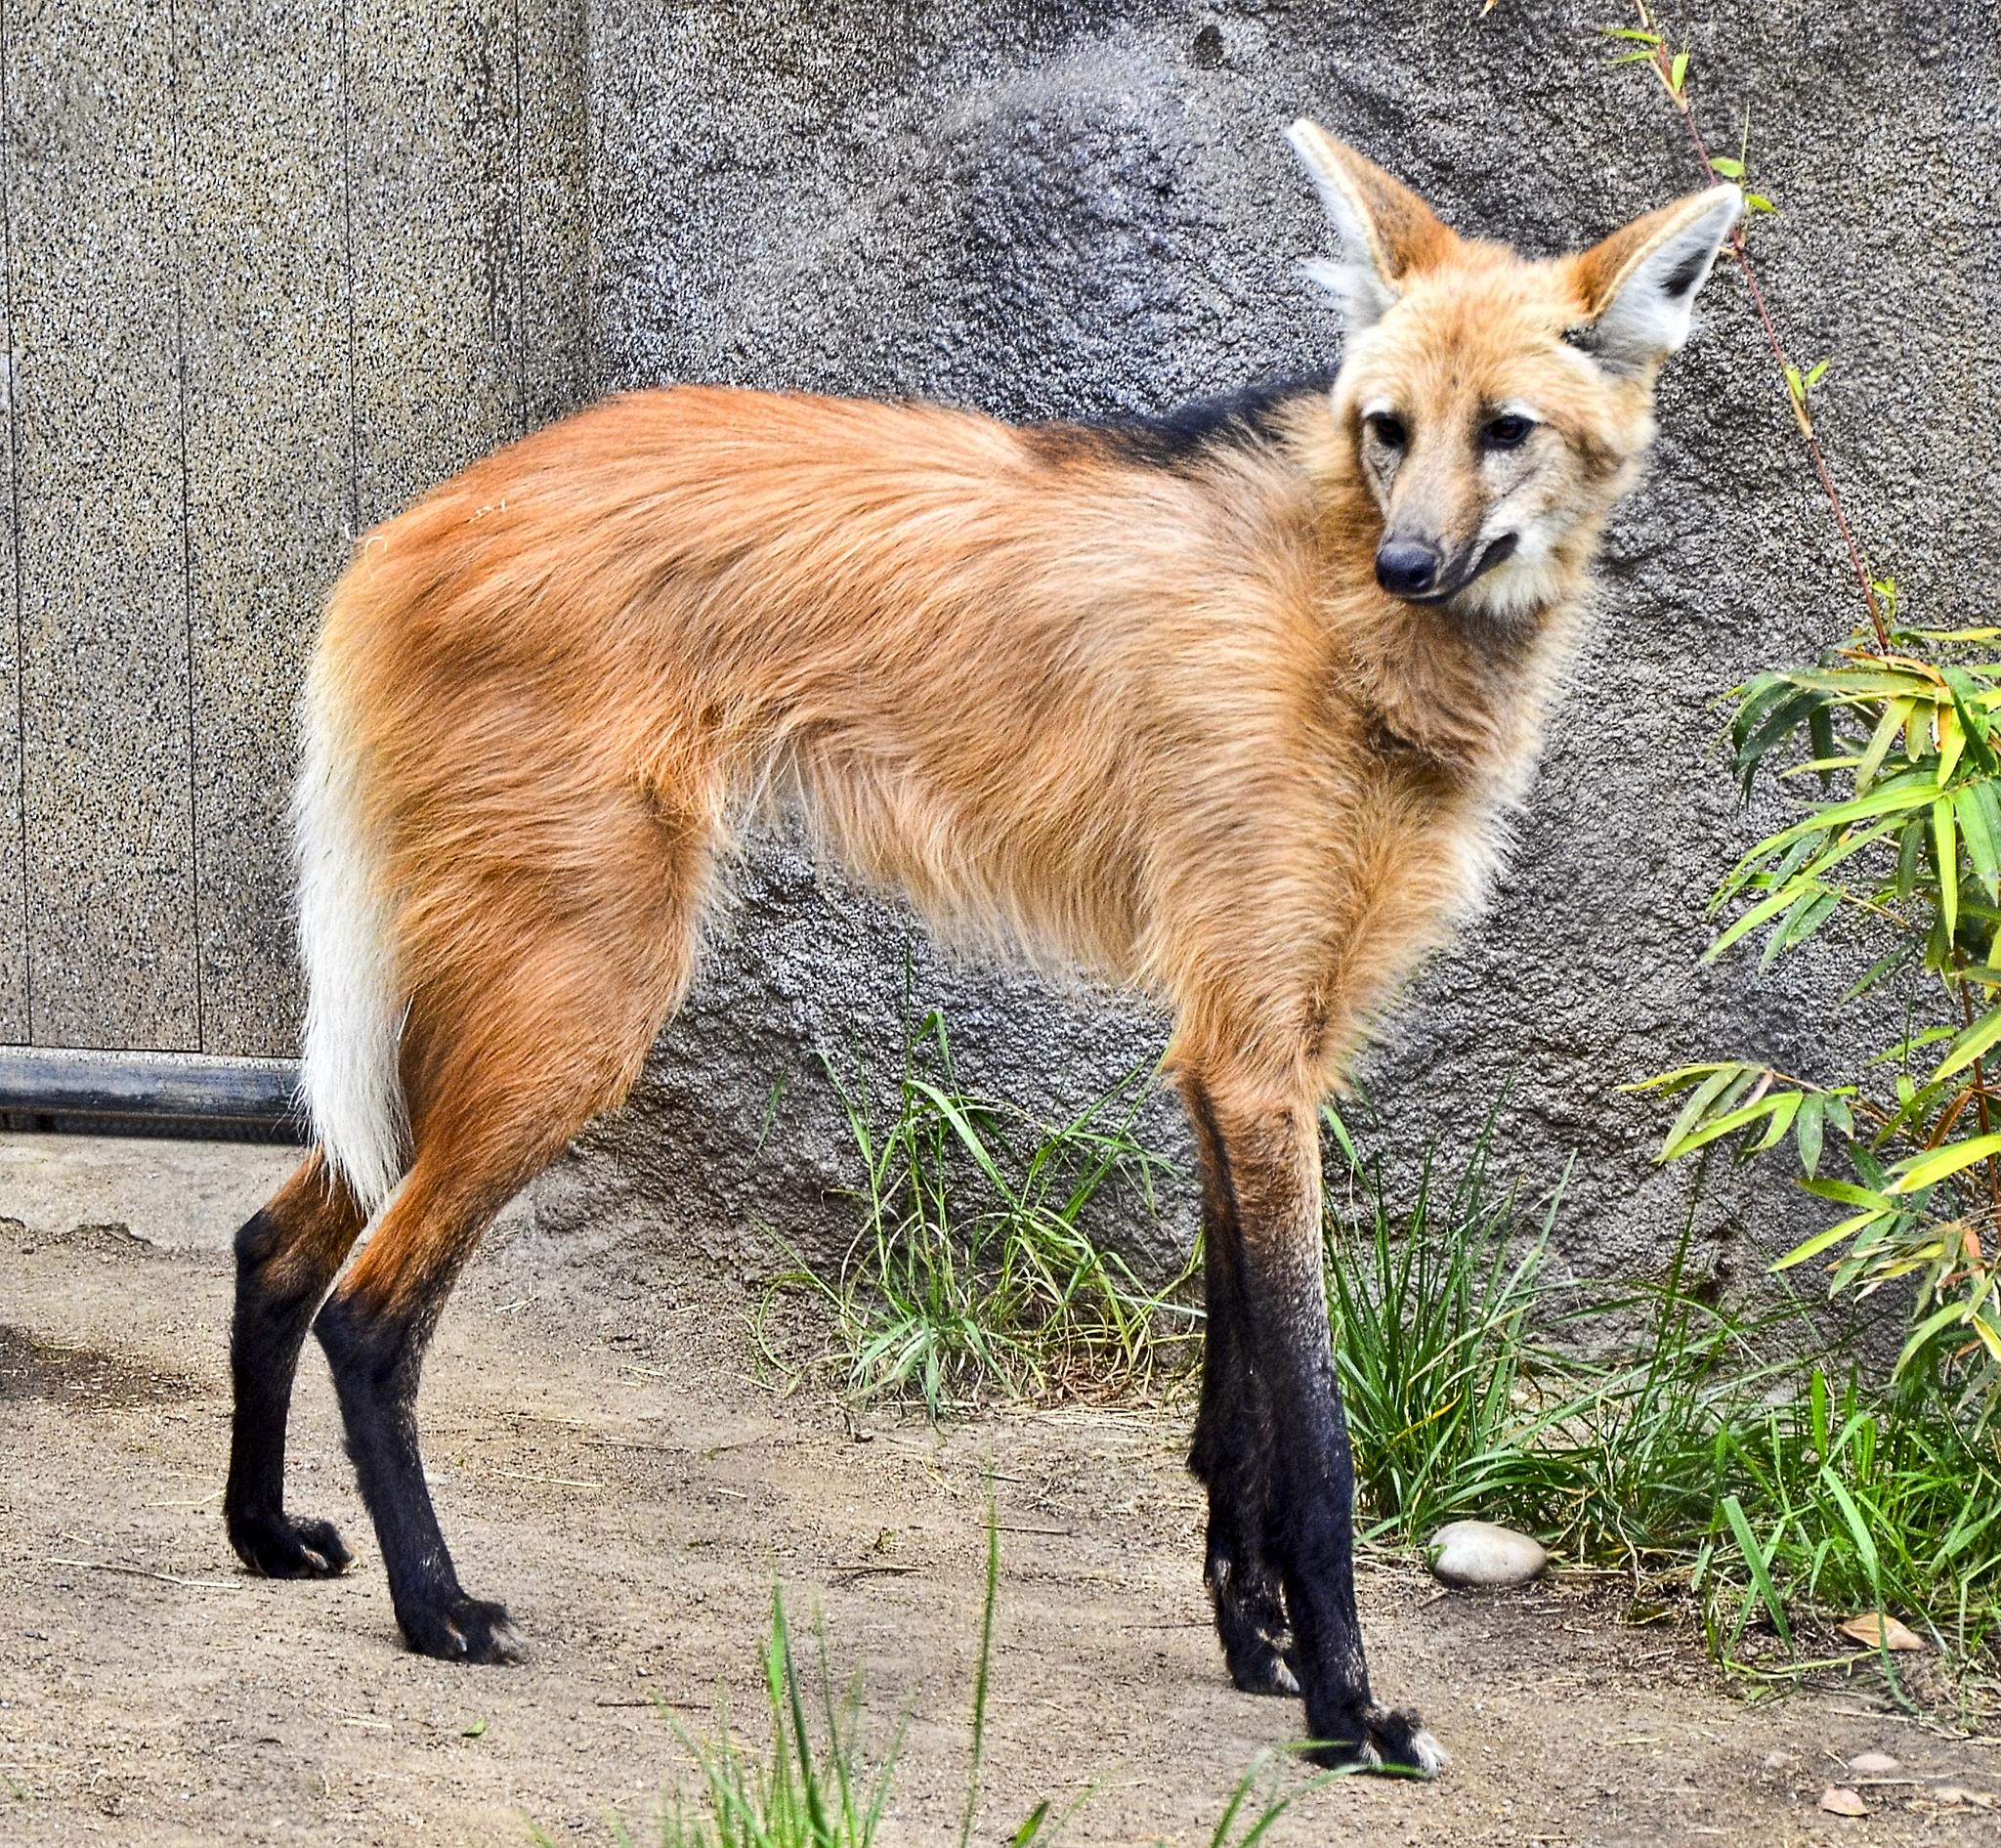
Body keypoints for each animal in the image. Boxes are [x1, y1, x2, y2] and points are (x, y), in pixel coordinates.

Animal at [221, 121, 1740, 1775]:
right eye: (1389, 429)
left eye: (1506, 429)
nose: (1412, 559)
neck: (1345, 615)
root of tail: (403, 525)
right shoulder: (1257, 1054)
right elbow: (1315, 1431)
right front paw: (1349, 1707)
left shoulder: (1244, 1051)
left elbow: (1236, 1409)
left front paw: (1256, 1646)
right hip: (586, 995)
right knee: (372, 1309)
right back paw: (439, 1607)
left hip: (483, 987)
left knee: (277, 1241)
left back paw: (263, 1532)